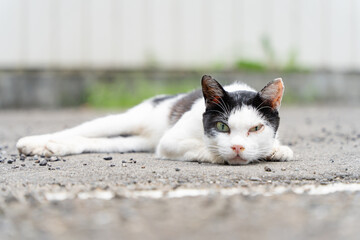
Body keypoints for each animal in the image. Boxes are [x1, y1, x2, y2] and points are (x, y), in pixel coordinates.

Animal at [15, 75, 294, 165]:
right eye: (222, 126)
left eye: (256, 128)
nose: (237, 147)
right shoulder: (170, 142)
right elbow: (202, 148)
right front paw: (219, 154)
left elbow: (280, 149)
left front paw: (276, 151)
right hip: (126, 120)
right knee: (82, 129)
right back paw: (34, 142)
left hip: (136, 141)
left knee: (91, 141)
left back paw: (53, 147)